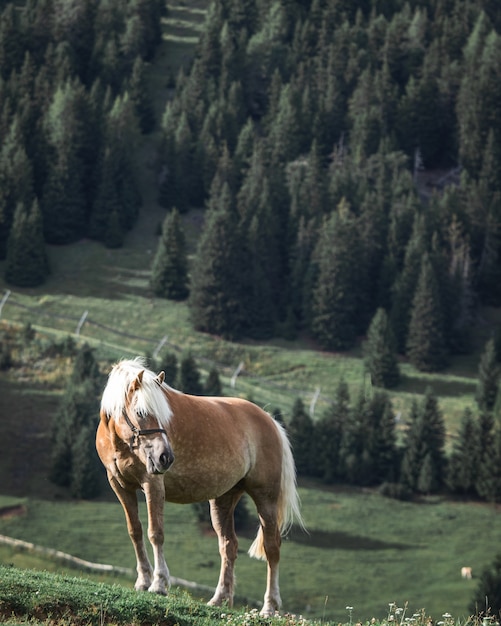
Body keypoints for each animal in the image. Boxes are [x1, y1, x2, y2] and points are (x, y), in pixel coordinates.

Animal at [95, 356, 302, 616]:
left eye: (163, 414)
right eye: (141, 412)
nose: (165, 458)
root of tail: (270, 421)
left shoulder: (152, 483)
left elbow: (156, 533)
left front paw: (159, 583)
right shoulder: (120, 486)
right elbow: (135, 531)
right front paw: (143, 581)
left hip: (266, 497)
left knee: (272, 547)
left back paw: (269, 607)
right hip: (223, 499)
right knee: (229, 546)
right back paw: (220, 599)